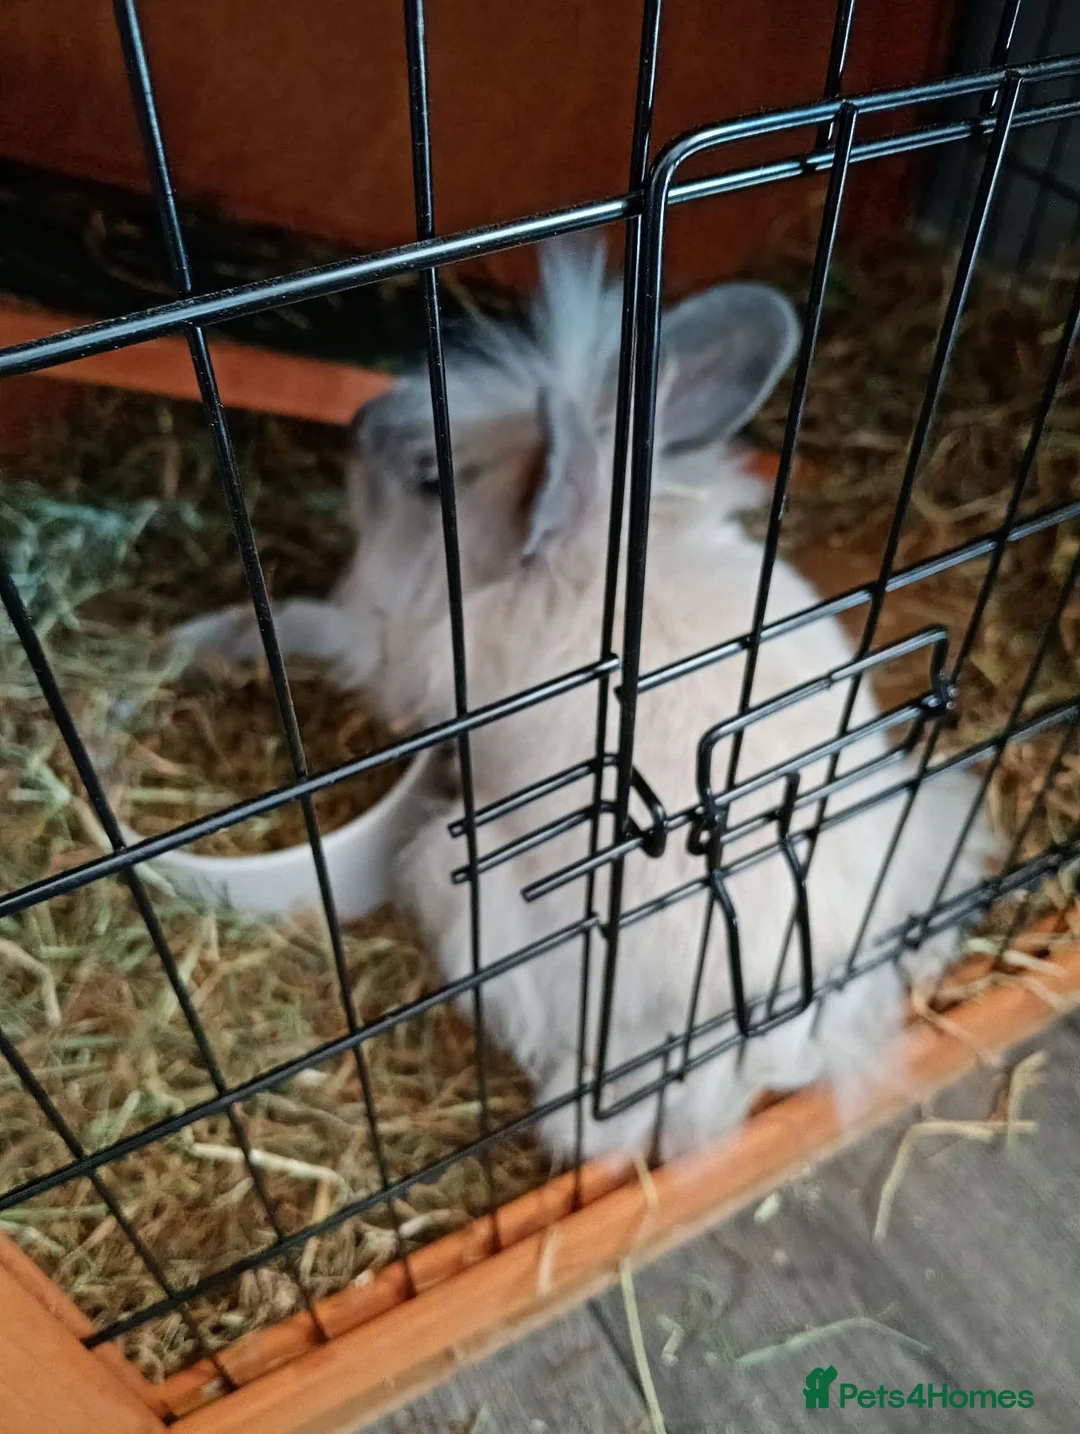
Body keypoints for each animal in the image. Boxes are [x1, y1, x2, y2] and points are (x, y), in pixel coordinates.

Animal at [208, 240, 999, 1162]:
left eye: (434, 479)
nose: (359, 422)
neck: (574, 565)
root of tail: (771, 1018)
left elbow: (321, 629)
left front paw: (226, 633)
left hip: (464, 890)